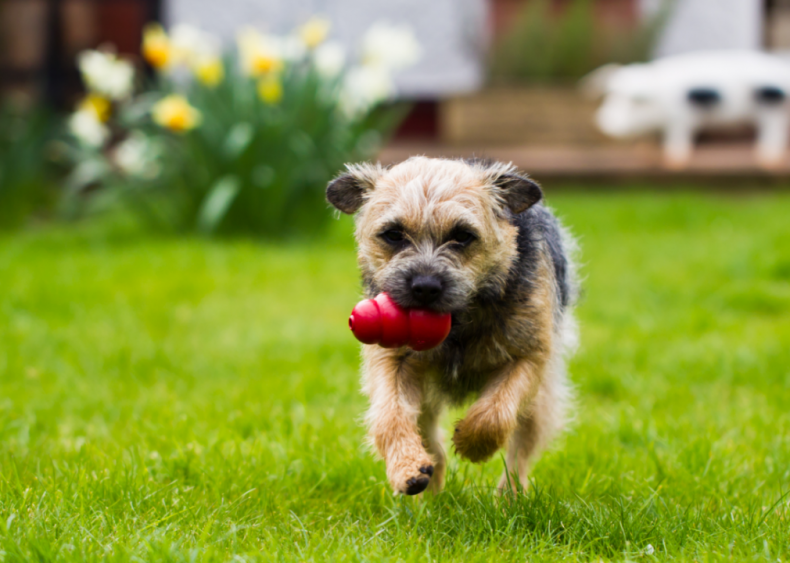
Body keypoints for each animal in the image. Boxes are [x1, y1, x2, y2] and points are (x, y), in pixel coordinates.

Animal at [324, 156, 580, 496]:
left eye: (462, 235)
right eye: (393, 234)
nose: (425, 286)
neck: (460, 324)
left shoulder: (528, 356)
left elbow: (496, 413)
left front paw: (474, 444)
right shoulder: (392, 360)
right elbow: (390, 415)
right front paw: (407, 467)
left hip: (540, 400)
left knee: (521, 450)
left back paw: (510, 495)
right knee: (430, 439)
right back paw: (429, 490)